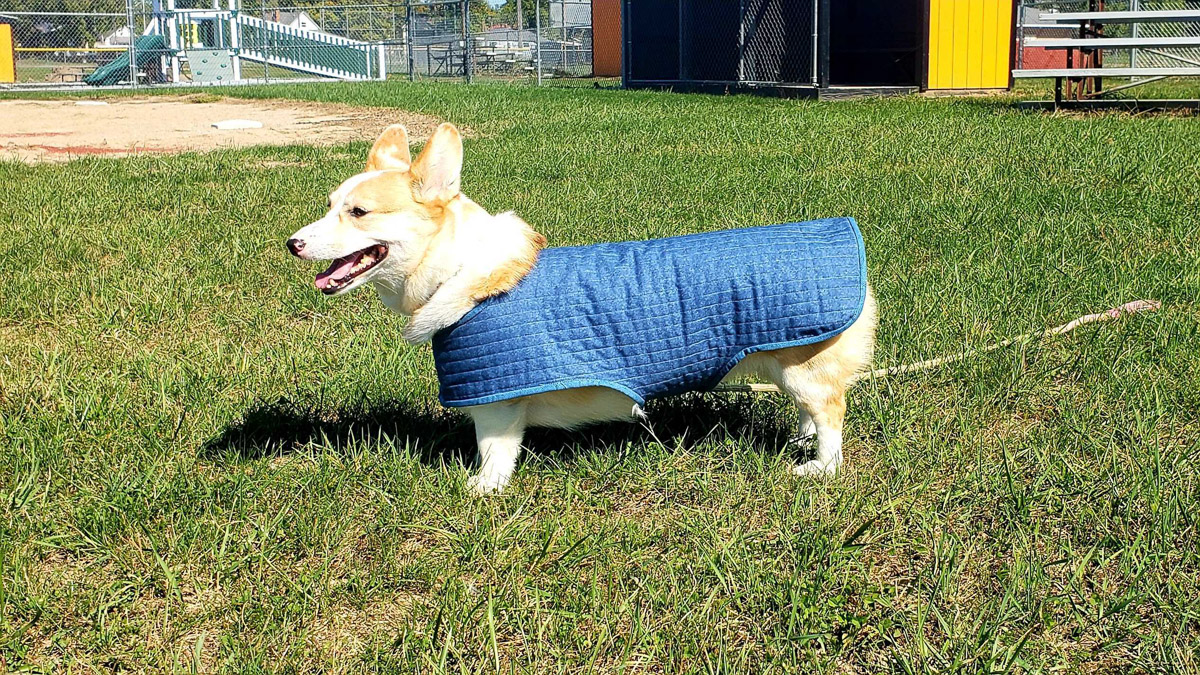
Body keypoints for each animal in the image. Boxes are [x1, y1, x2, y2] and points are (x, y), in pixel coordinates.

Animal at [285, 121, 878, 487]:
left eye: (358, 212)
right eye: (330, 205)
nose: (291, 243)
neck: (457, 269)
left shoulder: (498, 402)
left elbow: (493, 450)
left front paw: (482, 488)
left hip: (804, 367)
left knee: (831, 415)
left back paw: (819, 468)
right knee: (809, 411)